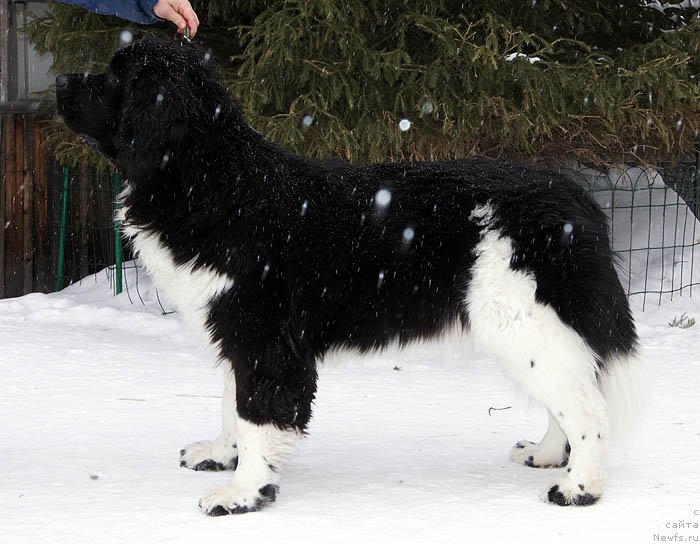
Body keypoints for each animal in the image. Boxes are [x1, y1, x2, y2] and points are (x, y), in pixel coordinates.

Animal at [56, 38, 644, 516]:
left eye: (114, 78)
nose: (60, 80)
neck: (211, 179)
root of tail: (578, 199)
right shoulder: (236, 328)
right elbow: (230, 402)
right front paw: (221, 455)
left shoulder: (265, 336)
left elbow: (255, 411)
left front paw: (242, 494)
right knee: (569, 394)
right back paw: (547, 455)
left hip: (527, 320)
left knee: (586, 406)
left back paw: (580, 487)